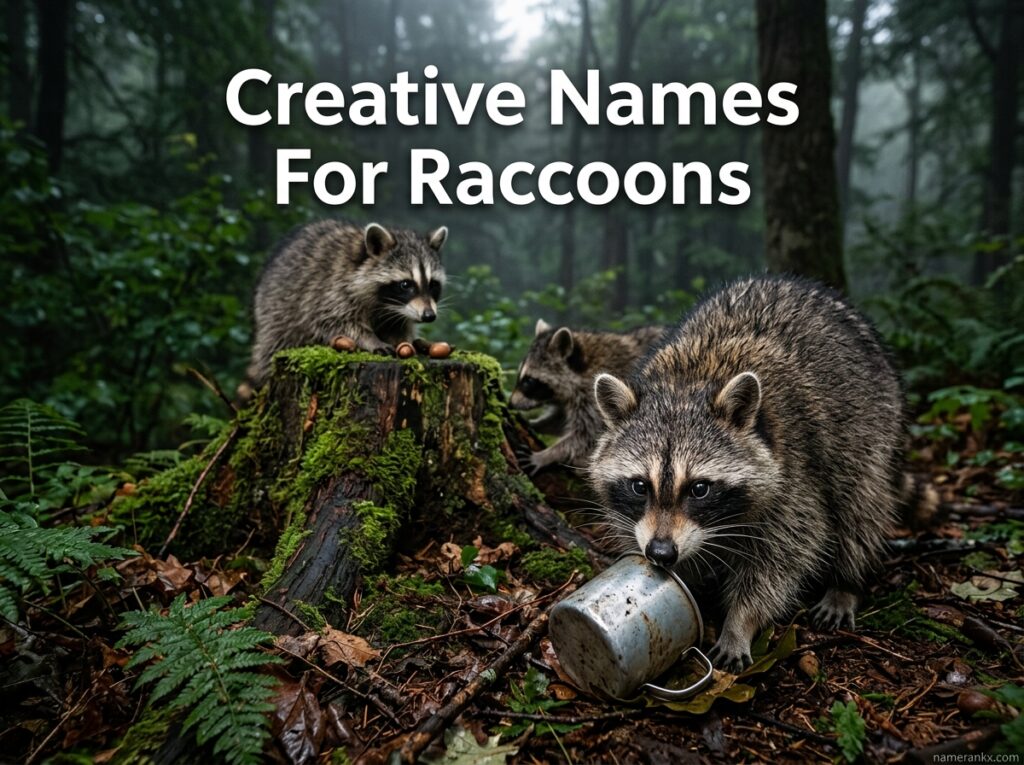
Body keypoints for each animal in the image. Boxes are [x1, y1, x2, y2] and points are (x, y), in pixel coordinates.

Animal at [246, 220, 447, 385]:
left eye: (433, 285)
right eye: (405, 285)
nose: (429, 316)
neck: (385, 305)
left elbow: (399, 326)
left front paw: (404, 342)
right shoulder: (330, 291)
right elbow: (333, 321)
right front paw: (370, 339)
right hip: (275, 312)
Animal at [509, 320, 667, 473]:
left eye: (529, 381)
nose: (510, 404)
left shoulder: (594, 398)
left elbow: (583, 437)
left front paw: (547, 455)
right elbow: (559, 420)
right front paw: (534, 423)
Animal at [588, 276, 911, 672]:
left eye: (699, 488)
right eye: (639, 486)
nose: (661, 553)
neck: (686, 383)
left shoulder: (793, 478)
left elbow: (785, 556)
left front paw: (740, 622)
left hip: (873, 423)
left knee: (860, 504)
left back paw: (847, 581)